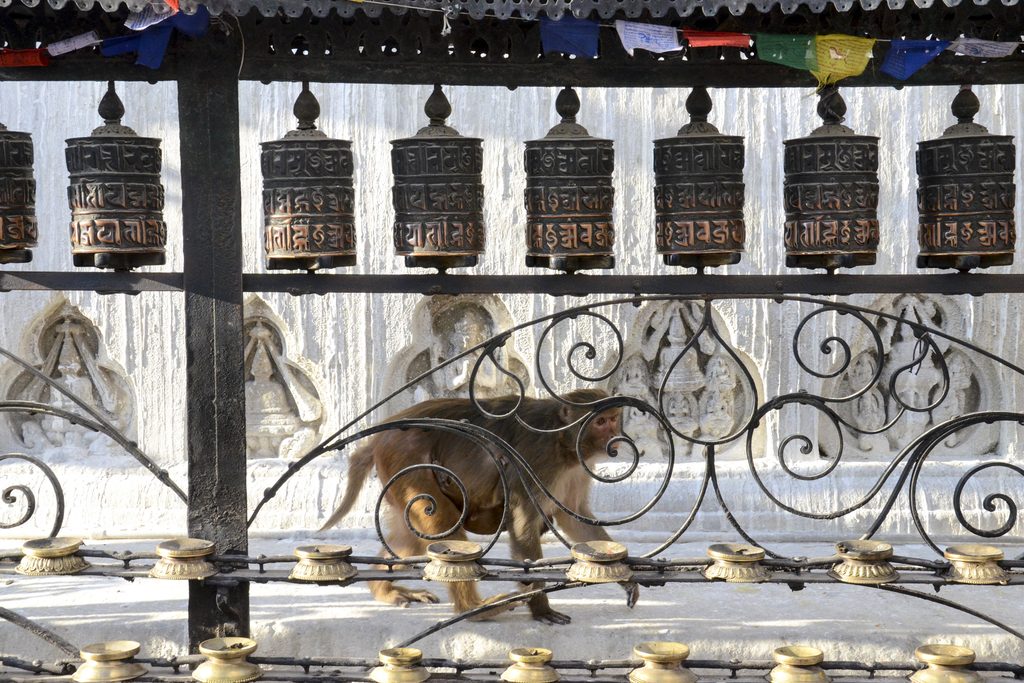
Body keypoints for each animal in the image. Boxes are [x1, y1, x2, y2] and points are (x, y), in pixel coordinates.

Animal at [320, 388, 626, 625]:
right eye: (600, 422)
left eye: (613, 419)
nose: (615, 439)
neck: (562, 442)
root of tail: (380, 437)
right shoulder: (540, 461)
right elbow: (524, 525)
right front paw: (540, 607)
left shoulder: (576, 470)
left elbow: (576, 519)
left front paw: (621, 575)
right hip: (407, 461)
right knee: (442, 523)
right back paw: (473, 610)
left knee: (411, 534)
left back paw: (385, 591)